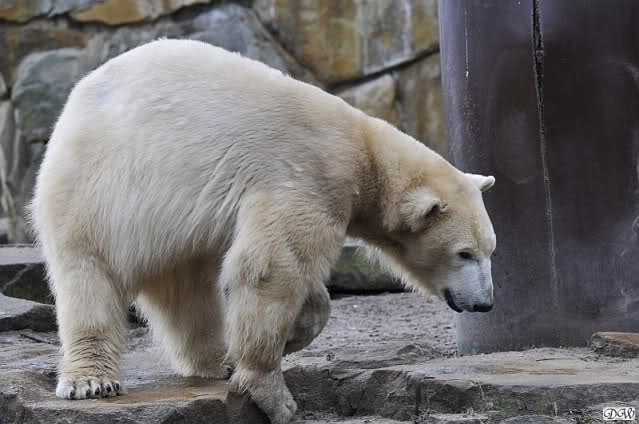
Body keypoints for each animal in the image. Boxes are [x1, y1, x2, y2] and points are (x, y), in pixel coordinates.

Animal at [29, 38, 496, 424]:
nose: (486, 303)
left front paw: (292, 334)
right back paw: (91, 380)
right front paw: (275, 393)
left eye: (490, 250)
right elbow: (273, 268)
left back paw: (216, 360)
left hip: (170, 227)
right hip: (98, 190)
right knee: (89, 279)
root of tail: (73, 104)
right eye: (464, 253)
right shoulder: (305, 176)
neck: (363, 152)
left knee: (189, 291)